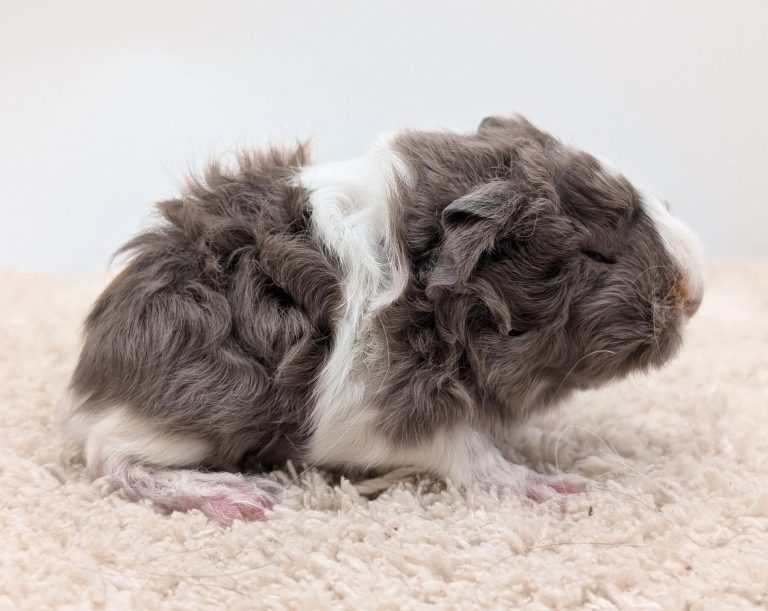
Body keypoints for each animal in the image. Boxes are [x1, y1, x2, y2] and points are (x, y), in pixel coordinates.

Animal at [64, 115, 704, 524]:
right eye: (595, 254)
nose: (695, 293)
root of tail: (92, 380)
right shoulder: (394, 414)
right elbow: (473, 457)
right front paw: (564, 490)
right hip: (205, 415)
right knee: (109, 457)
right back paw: (244, 500)